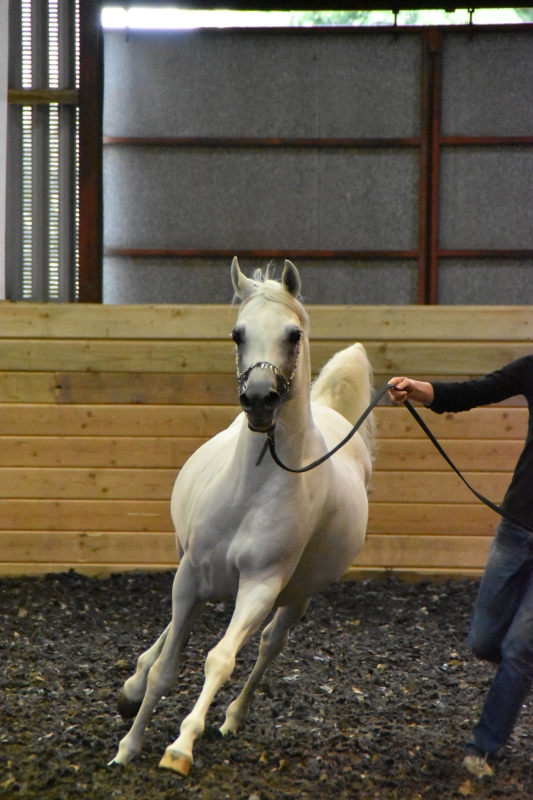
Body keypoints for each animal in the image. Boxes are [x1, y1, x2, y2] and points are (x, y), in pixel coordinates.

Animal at [109, 260, 372, 772]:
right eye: (237, 334)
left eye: (293, 334)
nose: (260, 399)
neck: (250, 489)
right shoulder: (190, 574)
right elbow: (167, 669)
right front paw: (128, 746)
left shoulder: (261, 585)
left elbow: (220, 660)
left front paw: (181, 746)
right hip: (195, 573)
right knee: (173, 633)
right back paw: (133, 686)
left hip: (296, 597)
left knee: (269, 644)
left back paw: (232, 717)